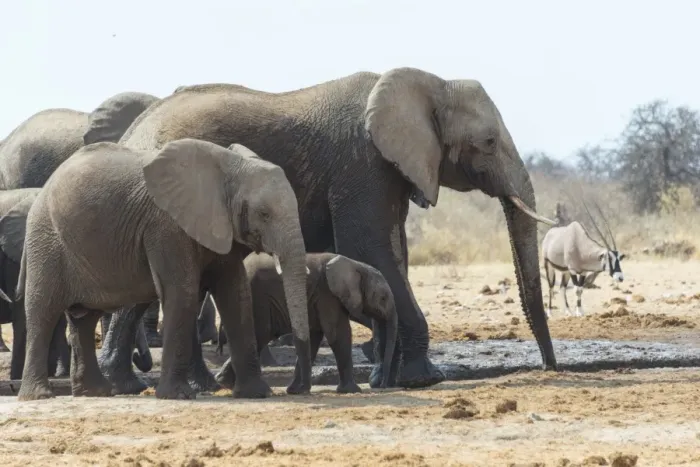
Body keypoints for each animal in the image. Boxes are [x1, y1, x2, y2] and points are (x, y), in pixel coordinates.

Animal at [11, 138, 311, 401]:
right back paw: (39, 396)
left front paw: (257, 394)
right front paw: (178, 396)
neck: (231, 167)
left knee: (84, 317)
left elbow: (235, 296)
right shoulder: (167, 227)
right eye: (264, 214)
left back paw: (95, 392)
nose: (296, 390)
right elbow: (182, 293)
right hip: (46, 241)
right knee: (43, 311)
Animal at [215, 252, 399, 393]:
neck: (356, 265)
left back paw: (224, 382)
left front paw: (295, 390)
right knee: (259, 335)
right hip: (258, 299)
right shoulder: (327, 295)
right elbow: (338, 334)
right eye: (383, 298)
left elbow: (314, 337)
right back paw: (229, 383)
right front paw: (352, 391)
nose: (382, 386)